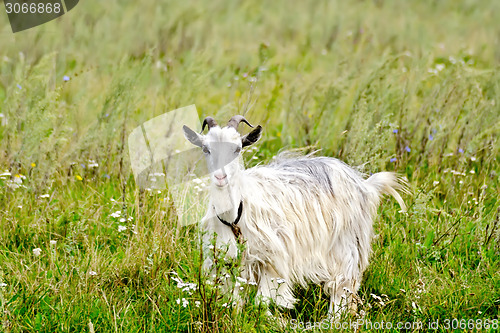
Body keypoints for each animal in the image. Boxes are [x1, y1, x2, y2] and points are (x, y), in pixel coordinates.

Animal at [182, 115, 408, 316]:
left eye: (237, 149)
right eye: (206, 149)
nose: (220, 177)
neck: (235, 216)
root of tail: (363, 184)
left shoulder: (272, 259)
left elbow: (262, 302)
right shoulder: (228, 262)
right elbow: (234, 301)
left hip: (347, 243)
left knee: (342, 286)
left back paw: (333, 320)